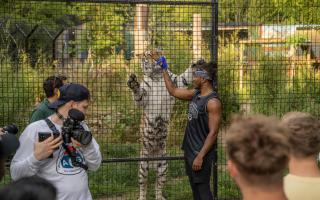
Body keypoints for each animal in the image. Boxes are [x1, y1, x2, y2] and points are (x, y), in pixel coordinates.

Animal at [127, 49, 200, 200]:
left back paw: (160, 197)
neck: (157, 77)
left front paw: (196, 63)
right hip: (143, 165)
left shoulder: (176, 82)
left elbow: (184, 77)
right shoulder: (144, 97)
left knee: (158, 185)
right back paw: (142, 197)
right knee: (143, 185)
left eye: (158, 52)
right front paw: (133, 83)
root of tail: (153, 162)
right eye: (148, 55)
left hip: (164, 165)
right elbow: (138, 92)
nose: (157, 58)